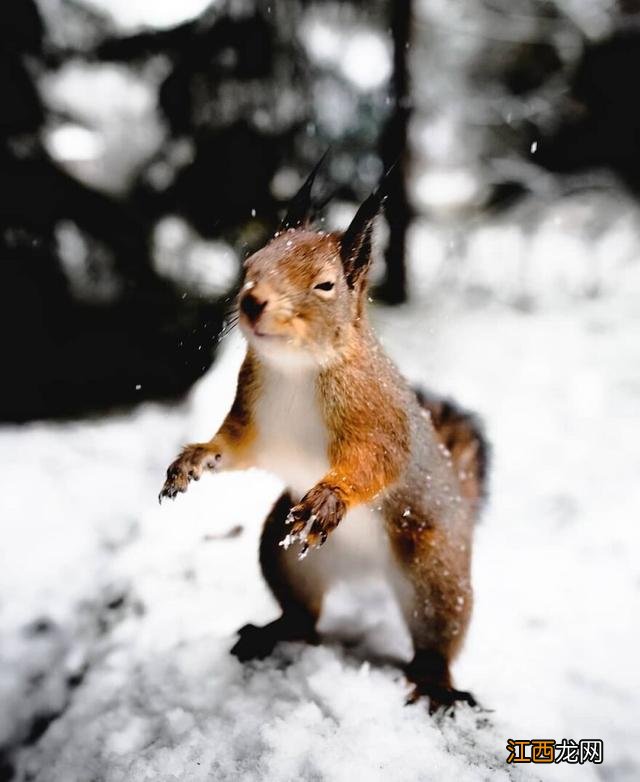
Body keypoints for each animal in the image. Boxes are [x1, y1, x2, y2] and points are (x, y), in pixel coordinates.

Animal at [160, 161, 490, 716]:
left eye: (325, 284)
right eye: (250, 263)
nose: (252, 301)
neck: (296, 367)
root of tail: (364, 574)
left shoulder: (377, 417)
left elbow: (377, 461)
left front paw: (331, 496)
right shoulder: (254, 422)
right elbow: (233, 448)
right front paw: (194, 458)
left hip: (435, 571)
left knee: (436, 638)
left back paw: (434, 683)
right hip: (280, 552)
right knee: (305, 617)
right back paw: (272, 633)